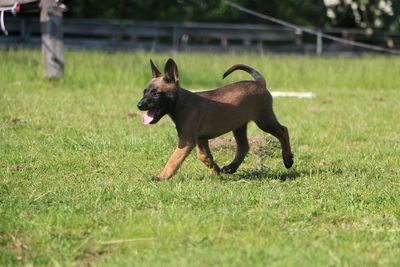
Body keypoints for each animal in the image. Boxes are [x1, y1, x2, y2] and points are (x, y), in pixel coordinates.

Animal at [138, 58, 294, 180]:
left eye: (156, 93)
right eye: (145, 92)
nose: (139, 105)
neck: (181, 103)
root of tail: (260, 83)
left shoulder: (186, 140)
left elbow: (173, 160)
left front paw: (162, 176)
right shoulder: (200, 139)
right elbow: (204, 156)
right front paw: (215, 171)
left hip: (264, 120)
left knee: (283, 131)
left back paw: (288, 160)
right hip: (239, 125)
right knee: (244, 146)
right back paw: (231, 168)